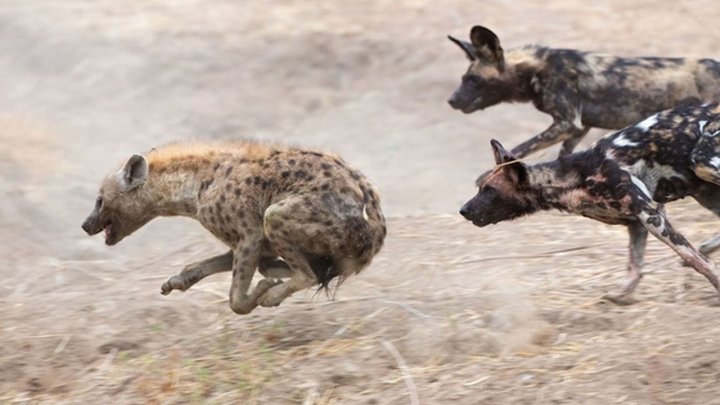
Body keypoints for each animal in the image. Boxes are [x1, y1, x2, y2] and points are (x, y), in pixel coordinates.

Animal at [81, 140, 386, 314]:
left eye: (99, 200)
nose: (85, 225)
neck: (195, 186)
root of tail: (377, 225)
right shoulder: (248, 243)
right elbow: (207, 264)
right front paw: (174, 282)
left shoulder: (250, 234)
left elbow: (236, 299)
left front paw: (261, 293)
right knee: (315, 270)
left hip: (280, 215)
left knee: (307, 274)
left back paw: (271, 294)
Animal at [448, 24, 720, 158]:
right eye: (464, 78)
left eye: (473, 79)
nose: (451, 101)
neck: (536, 70)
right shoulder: (579, 128)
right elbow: (562, 158)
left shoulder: (568, 124)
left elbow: (519, 149)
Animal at [458, 102, 720, 304]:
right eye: (480, 188)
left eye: (490, 190)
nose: (463, 210)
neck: (572, 179)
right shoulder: (637, 223)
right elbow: (635, 267)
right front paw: (621, 297)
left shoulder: (651, 216)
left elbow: (697, 260)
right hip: (705, 191)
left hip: (703, 164)